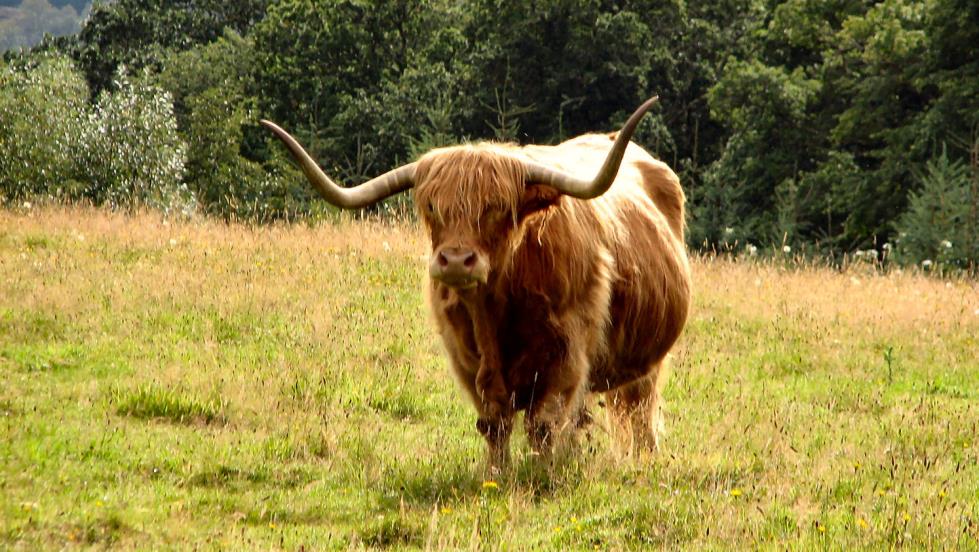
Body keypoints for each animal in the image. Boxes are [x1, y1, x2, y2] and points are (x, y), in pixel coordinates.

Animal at [260, 98, 688, 470]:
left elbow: (544, 424)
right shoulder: (467, 360)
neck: (494, 315)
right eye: (432, 206)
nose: (455, 260)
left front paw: (543, 475)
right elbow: (494, 424)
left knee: (640, 412)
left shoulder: (566, 356)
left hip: (644, 365)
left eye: (496, 207)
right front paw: (496, 474)